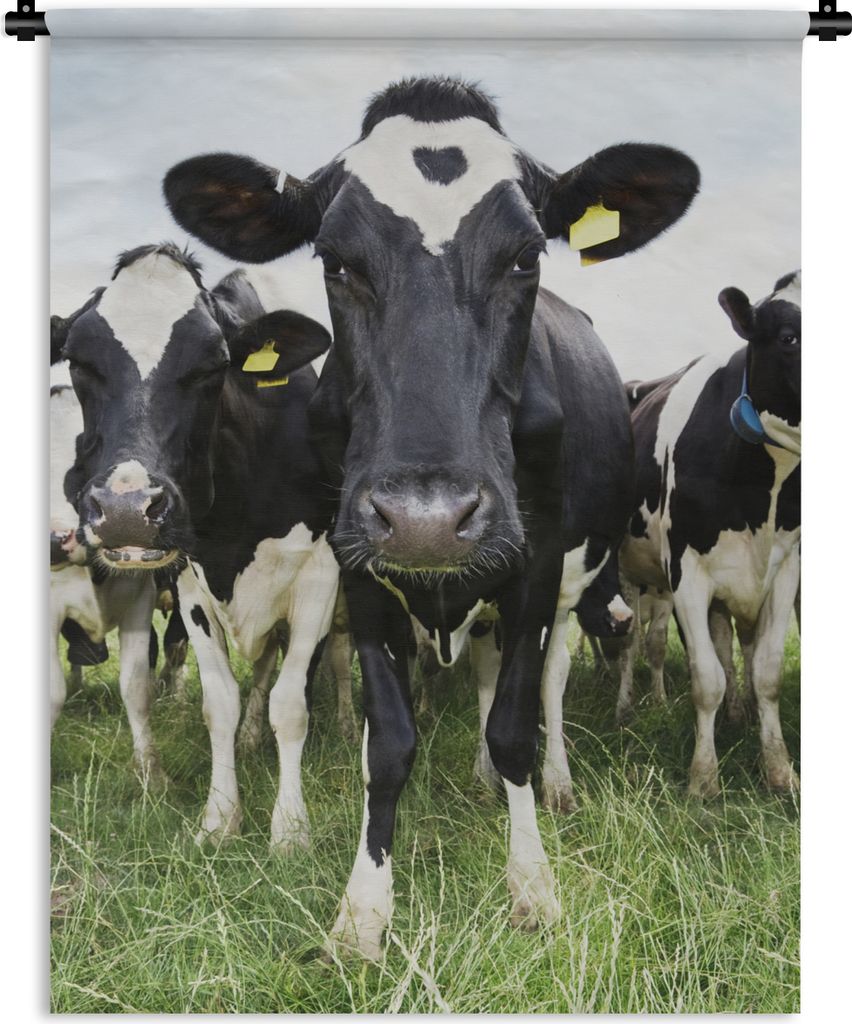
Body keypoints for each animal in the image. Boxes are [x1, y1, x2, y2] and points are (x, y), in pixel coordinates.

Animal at [51, 243, 342, 848]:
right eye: (78, 362)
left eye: (212, 365)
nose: (126, 512)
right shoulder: (189, 583)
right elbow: (220, 702)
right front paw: (219, 818)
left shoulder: (320, 578)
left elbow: (290, 703)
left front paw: (290, 829)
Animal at [163, 76, 700, 959]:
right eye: (335, 261)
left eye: (527, 256)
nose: (427, 519)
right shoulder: (357, 565)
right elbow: (388, 740)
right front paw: (363, 911)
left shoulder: (535, 562)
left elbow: (514, 724)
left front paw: (533, 886)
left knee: (546, 685)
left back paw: (550, 785)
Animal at [618, 271, 801, 797]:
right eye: (788, 338)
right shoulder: (686, 575)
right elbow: (706, 678)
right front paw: (703, 780)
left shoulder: (785, 570)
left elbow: (765, 671)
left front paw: (780, 770)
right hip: (627, 574)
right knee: (630, 642)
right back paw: (624, 707)